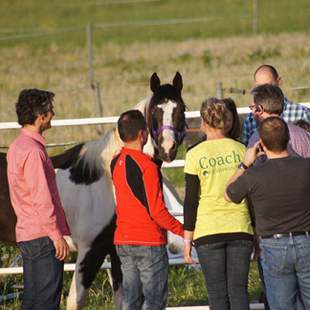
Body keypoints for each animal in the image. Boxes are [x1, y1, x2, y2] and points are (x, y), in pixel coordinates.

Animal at [54, 72, 186, 308]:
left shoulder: (116, 251)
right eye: (155, 111)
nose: (168, 149)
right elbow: (75, 300)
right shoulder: (90, 250)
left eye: (181, 109)